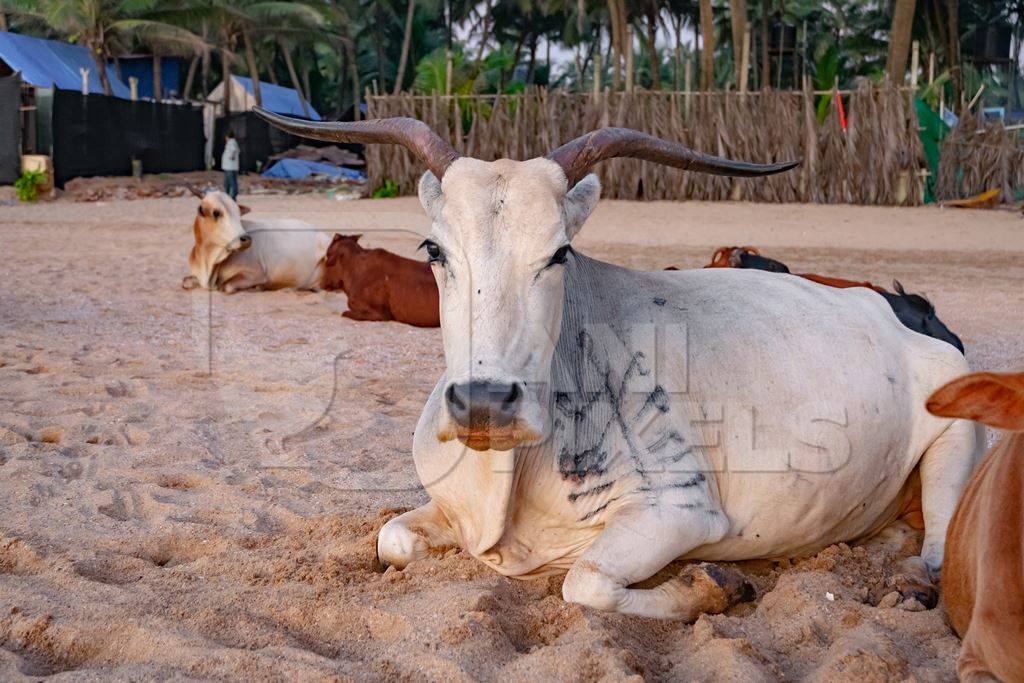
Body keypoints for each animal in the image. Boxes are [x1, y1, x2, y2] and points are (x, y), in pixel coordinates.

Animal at [182, 189, 329, 294]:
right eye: (216, 213)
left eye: (239, 214)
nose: (246, 239)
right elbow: (185, 282)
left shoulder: (255, 274)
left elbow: (226, 286)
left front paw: (257, 288)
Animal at [260, 109, 978, 622]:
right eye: (433, 249)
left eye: (559, 253)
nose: (486, 403)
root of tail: (905, 310)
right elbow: (392, 539)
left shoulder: (680, 511)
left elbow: (584, 582)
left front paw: (714, 586)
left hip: (957, 436)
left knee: (940, 546)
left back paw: (911, 584)